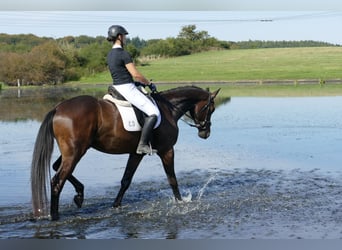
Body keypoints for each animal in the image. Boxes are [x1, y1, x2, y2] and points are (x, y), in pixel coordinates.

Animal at [30, 86, 220, 221]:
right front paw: (181, 203)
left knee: (56, 167)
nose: (205, 133)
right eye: (210, 109)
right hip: (76, 152)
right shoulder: (167, 150)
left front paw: (116, 205)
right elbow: (172, 179)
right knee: (57, 181)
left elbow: (126, 180)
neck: (168, 109)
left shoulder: (136, 153)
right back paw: (55, 216)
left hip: (73, 151)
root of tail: (57, 108)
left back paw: (79, 194)